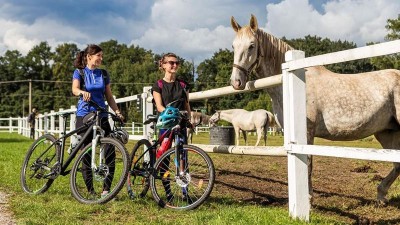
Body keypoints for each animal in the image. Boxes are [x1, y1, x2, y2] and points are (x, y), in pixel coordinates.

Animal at [230, 14, 400, 204]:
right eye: (233, 46)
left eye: (252, 45)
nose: (236, 82)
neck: (294, 82)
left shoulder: (307, 133)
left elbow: (308, 163)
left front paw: (309, 199)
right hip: (386, 132)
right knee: (397, 164)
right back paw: (381, 195)